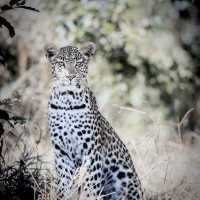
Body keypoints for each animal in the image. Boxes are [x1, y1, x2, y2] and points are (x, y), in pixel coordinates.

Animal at [46, 43, 145, 199]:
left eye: (78, 63)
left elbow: (90, 186)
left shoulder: (91, 151)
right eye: (61, 63)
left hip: (125, 176)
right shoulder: (61, 152)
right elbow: (64, 184)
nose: (70, 76)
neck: (67, 101)